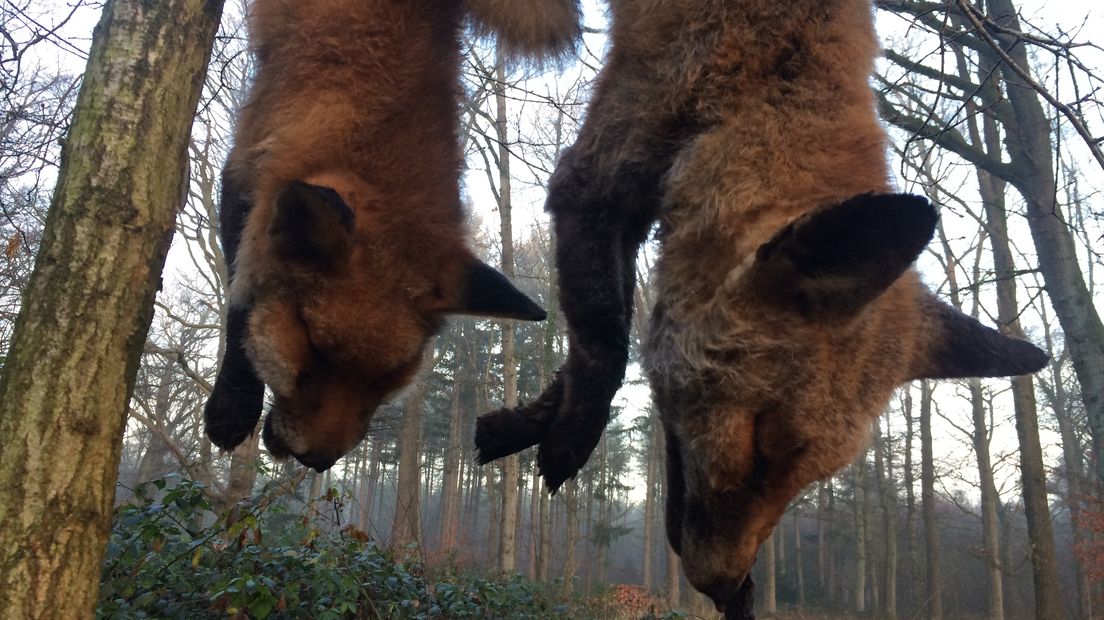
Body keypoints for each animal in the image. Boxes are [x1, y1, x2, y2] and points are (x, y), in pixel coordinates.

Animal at [204, 0, 582, 469]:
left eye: (386, 378)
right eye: (312, 349)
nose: (318, 462)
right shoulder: (246, 166)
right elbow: (239, 301)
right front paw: (233, 404)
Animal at [472, 0, 1042, 613]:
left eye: (814, 475)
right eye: (760, 445)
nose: (728, 588)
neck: (755, 79)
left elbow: (588, 350)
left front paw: (522, 423)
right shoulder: (595, 178)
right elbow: (604, 345)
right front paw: (564, 438)